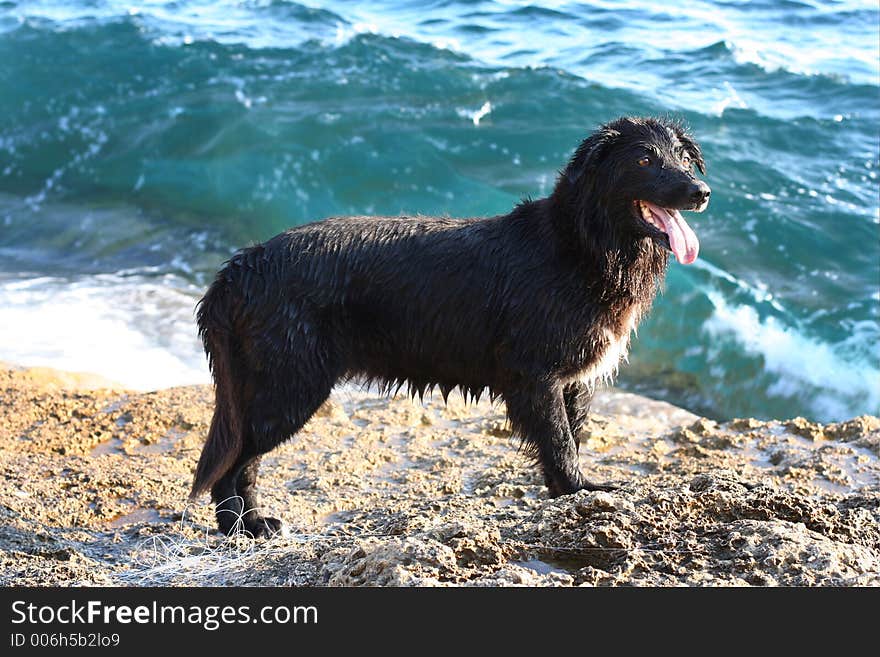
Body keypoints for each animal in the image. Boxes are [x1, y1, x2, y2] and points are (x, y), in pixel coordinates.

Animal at [191, 115, 708, 536]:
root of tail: (239, 267)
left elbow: (572, 437)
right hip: (289, 386)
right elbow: (560, 441)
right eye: (644, 158)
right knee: (233, 464)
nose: (700, 193)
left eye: (684, 158)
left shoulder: (575, 380)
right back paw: (244, 526)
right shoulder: (535, 375)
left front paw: (570, 491)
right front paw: (582, 492)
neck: (581, 246)